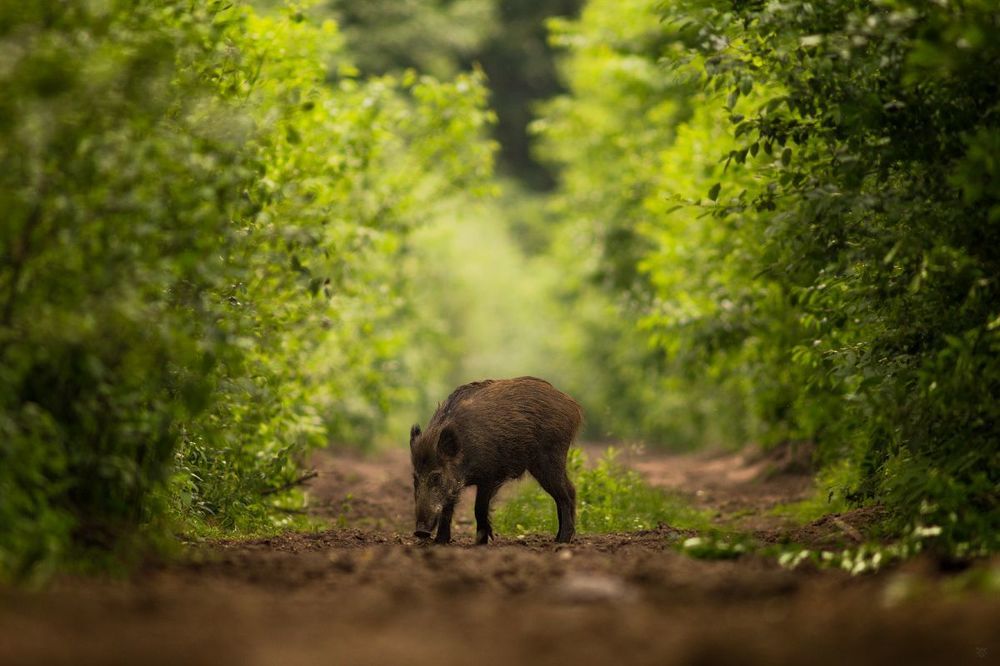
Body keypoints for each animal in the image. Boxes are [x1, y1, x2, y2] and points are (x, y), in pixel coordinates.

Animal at [409, 376, 583, 545]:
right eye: (415, 479)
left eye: (436, 477)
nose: (420, 532)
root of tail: (574, 407)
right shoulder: (455, 486)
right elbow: (447, 509)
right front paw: (440, 542)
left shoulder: (489, 476)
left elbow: (479, 508)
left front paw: (481, 542)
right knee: (566, 492)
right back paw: (558, 538)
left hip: (551, 458)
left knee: (566, 494)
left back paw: (562, 541)